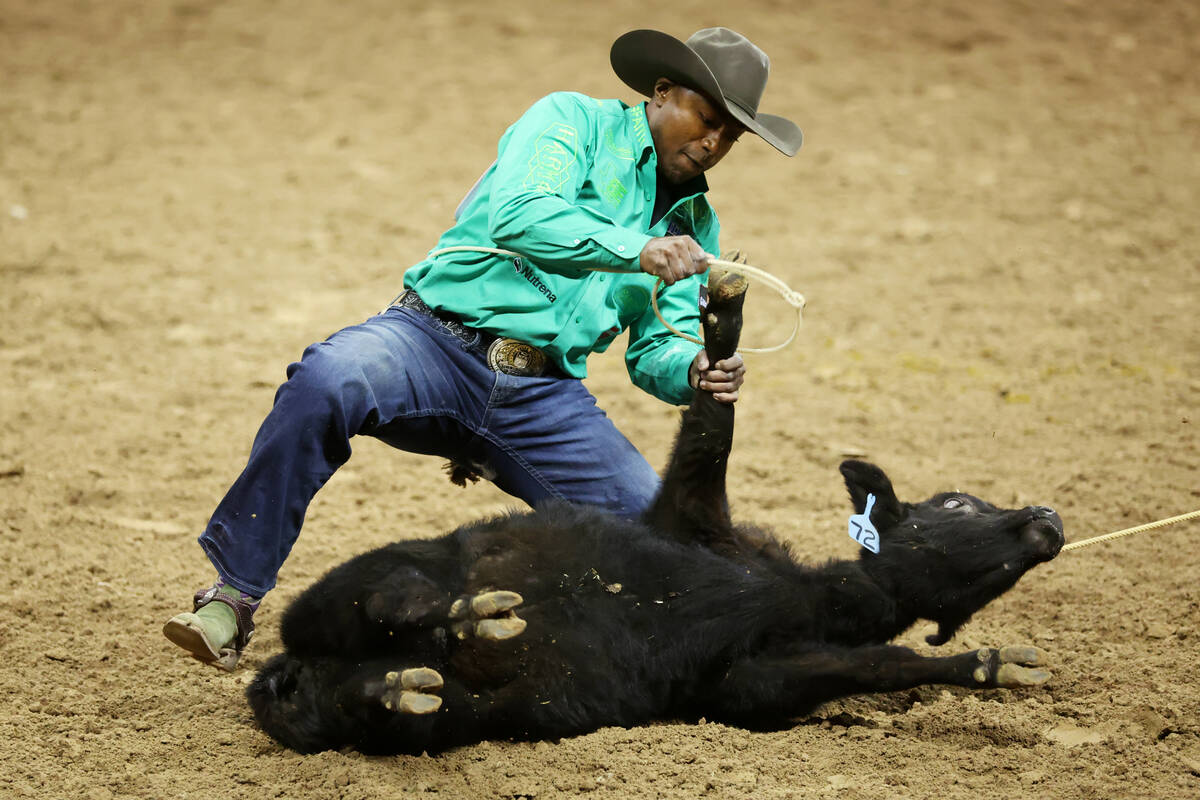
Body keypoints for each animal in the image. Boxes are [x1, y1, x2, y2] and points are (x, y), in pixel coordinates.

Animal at [246, 272, 1070, 753]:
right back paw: (467, 614)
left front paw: (992, 665)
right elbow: (712, 426)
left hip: (437, 711)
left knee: (379, 693)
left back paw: (406, 677)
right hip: (363, 576)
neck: (800, 594)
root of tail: (285, 675)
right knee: (391, 598)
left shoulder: (751, 679)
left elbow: (878, 665)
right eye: (958, 501)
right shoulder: (689, 510)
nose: (1048, 516)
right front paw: (724, 314)